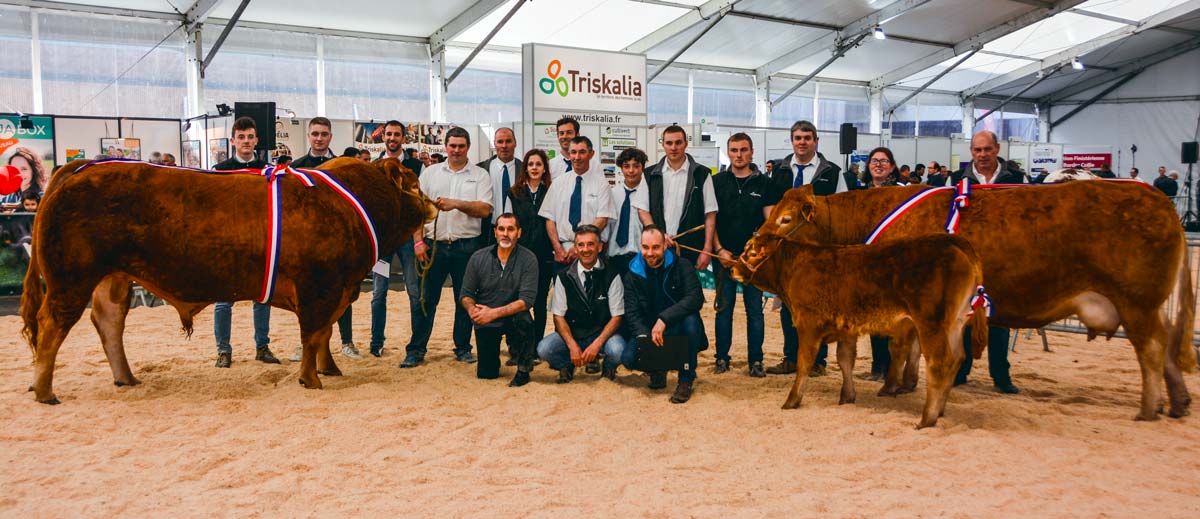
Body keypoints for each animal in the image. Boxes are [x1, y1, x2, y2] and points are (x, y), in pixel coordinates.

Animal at [21, 156, 434, 403]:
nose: (433, 204)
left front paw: (327, 368)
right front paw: (311, 379)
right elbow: (314, 333)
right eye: (414, 183)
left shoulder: (336, 289)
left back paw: (126, 378)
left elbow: (325, 334)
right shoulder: (320, 287)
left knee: (108, 321)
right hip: (70, 280)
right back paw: (44, 390)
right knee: (51, 326)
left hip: (113, 277)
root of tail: (81, 166)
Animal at [724, 233, 988, 427]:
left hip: (931, 323)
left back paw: (927, 418)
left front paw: (792, 400)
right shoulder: (847, 328)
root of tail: (952, 241)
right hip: (955, 324)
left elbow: (804, 363)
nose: (731, 268)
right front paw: (847, 396)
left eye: (753, 252)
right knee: (956, 359)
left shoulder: (808, 324)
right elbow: (845, 360)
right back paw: (940, 411)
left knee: (940, 362)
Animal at [753, 182, 1195, 422]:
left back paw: (1148, 408)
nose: (753, 243)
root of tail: (1158, 199)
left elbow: (901, 346)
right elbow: (915, 349)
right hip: (1147, 305)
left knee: (1152, 349)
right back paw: (1177, 402)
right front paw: (907, 383)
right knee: (1166, 346)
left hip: (1137, 301)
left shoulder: (908, 307)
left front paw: (894, 385)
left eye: (786, 219)